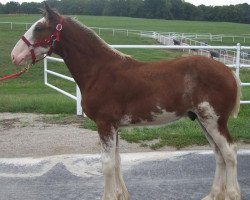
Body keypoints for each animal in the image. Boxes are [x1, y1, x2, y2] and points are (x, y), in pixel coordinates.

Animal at [10, 3, 242, 200]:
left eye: (39, 27)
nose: (14, 56)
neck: (99, 71)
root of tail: (228, 72)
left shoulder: (105, 124)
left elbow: (107, 164)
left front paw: (109, 196)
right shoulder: (114, 126)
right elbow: (117, 161)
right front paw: (121, 194)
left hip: (214, 121)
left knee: (229, 153)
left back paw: (232, 193)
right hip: (203, 121)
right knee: (219, 154)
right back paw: (213, 195)